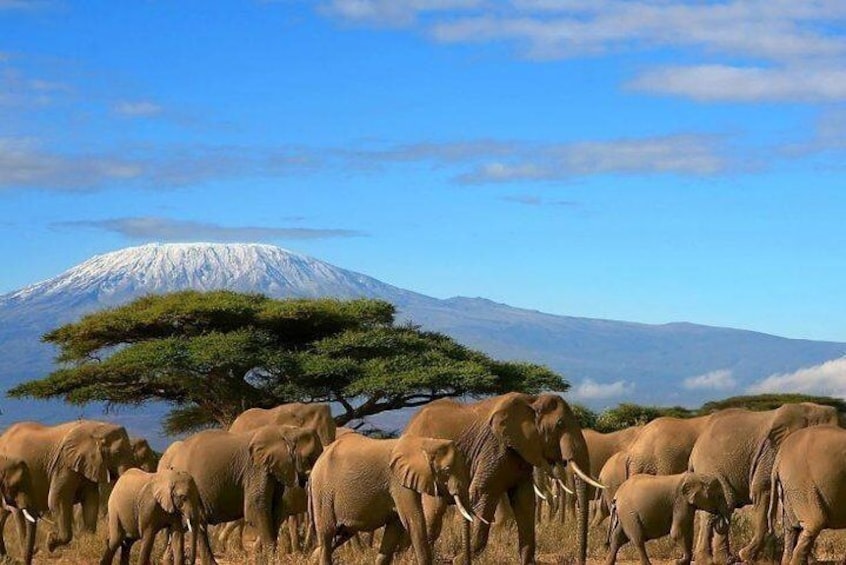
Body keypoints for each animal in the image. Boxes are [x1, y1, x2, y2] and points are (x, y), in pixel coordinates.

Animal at [0, 418, 128, 560]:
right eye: (117, 453)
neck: (98, 427)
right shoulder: (64, 465)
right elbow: (57, 500)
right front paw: (50, 542)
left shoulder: (86, 465)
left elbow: (91, 501)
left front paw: (87, 542)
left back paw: (7, 559)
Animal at [158, 424, 322, 564]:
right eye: (310, 457)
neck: (287, 431)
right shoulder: (256, 469)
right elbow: (255, 510)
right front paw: (271, 560)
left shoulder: (274, 470)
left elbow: (275, 511)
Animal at [404, 392, 604, 564]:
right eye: (560, 424)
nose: (581, 561)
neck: (532, 401)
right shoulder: (494, 448)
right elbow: (483, 494)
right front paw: (459, 561)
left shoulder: (521, 452)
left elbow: (525, 501)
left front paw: (528, 562)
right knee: (434, 511)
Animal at [688, 404, 840, 560]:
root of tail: (695, 448)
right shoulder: (771, 453)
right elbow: (762, 490)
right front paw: (746, 556)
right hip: (709, 468)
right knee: (715, 510)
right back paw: (708, 560)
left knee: (725, 506)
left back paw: (724, 560)